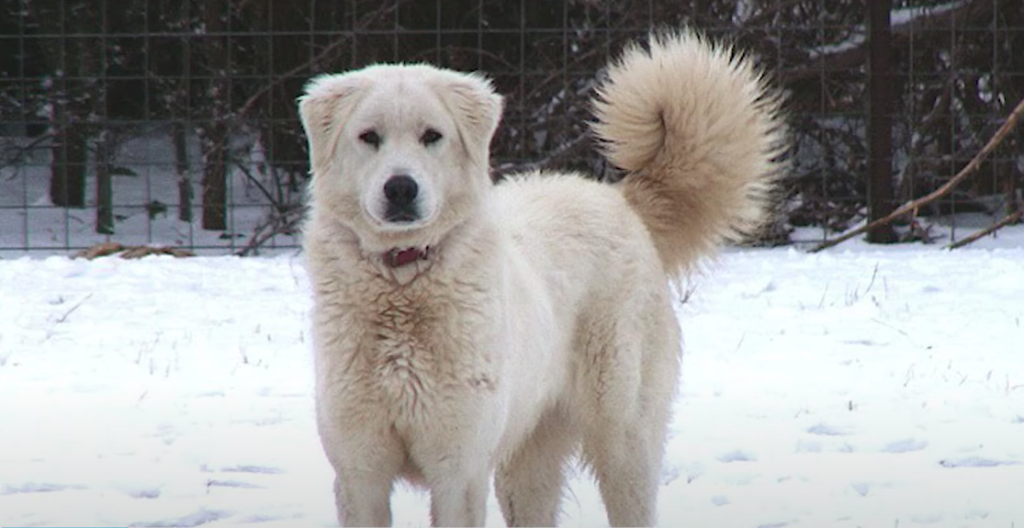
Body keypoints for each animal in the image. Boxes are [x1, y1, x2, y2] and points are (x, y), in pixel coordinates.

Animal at [296, 30, 782, 523]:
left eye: (431, 136)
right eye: (368, 137)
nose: (400, 188)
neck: (404, 278)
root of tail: (619, 199)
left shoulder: (459, 472)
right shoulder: (360, 475)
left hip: (623, 439)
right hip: (526, 463)